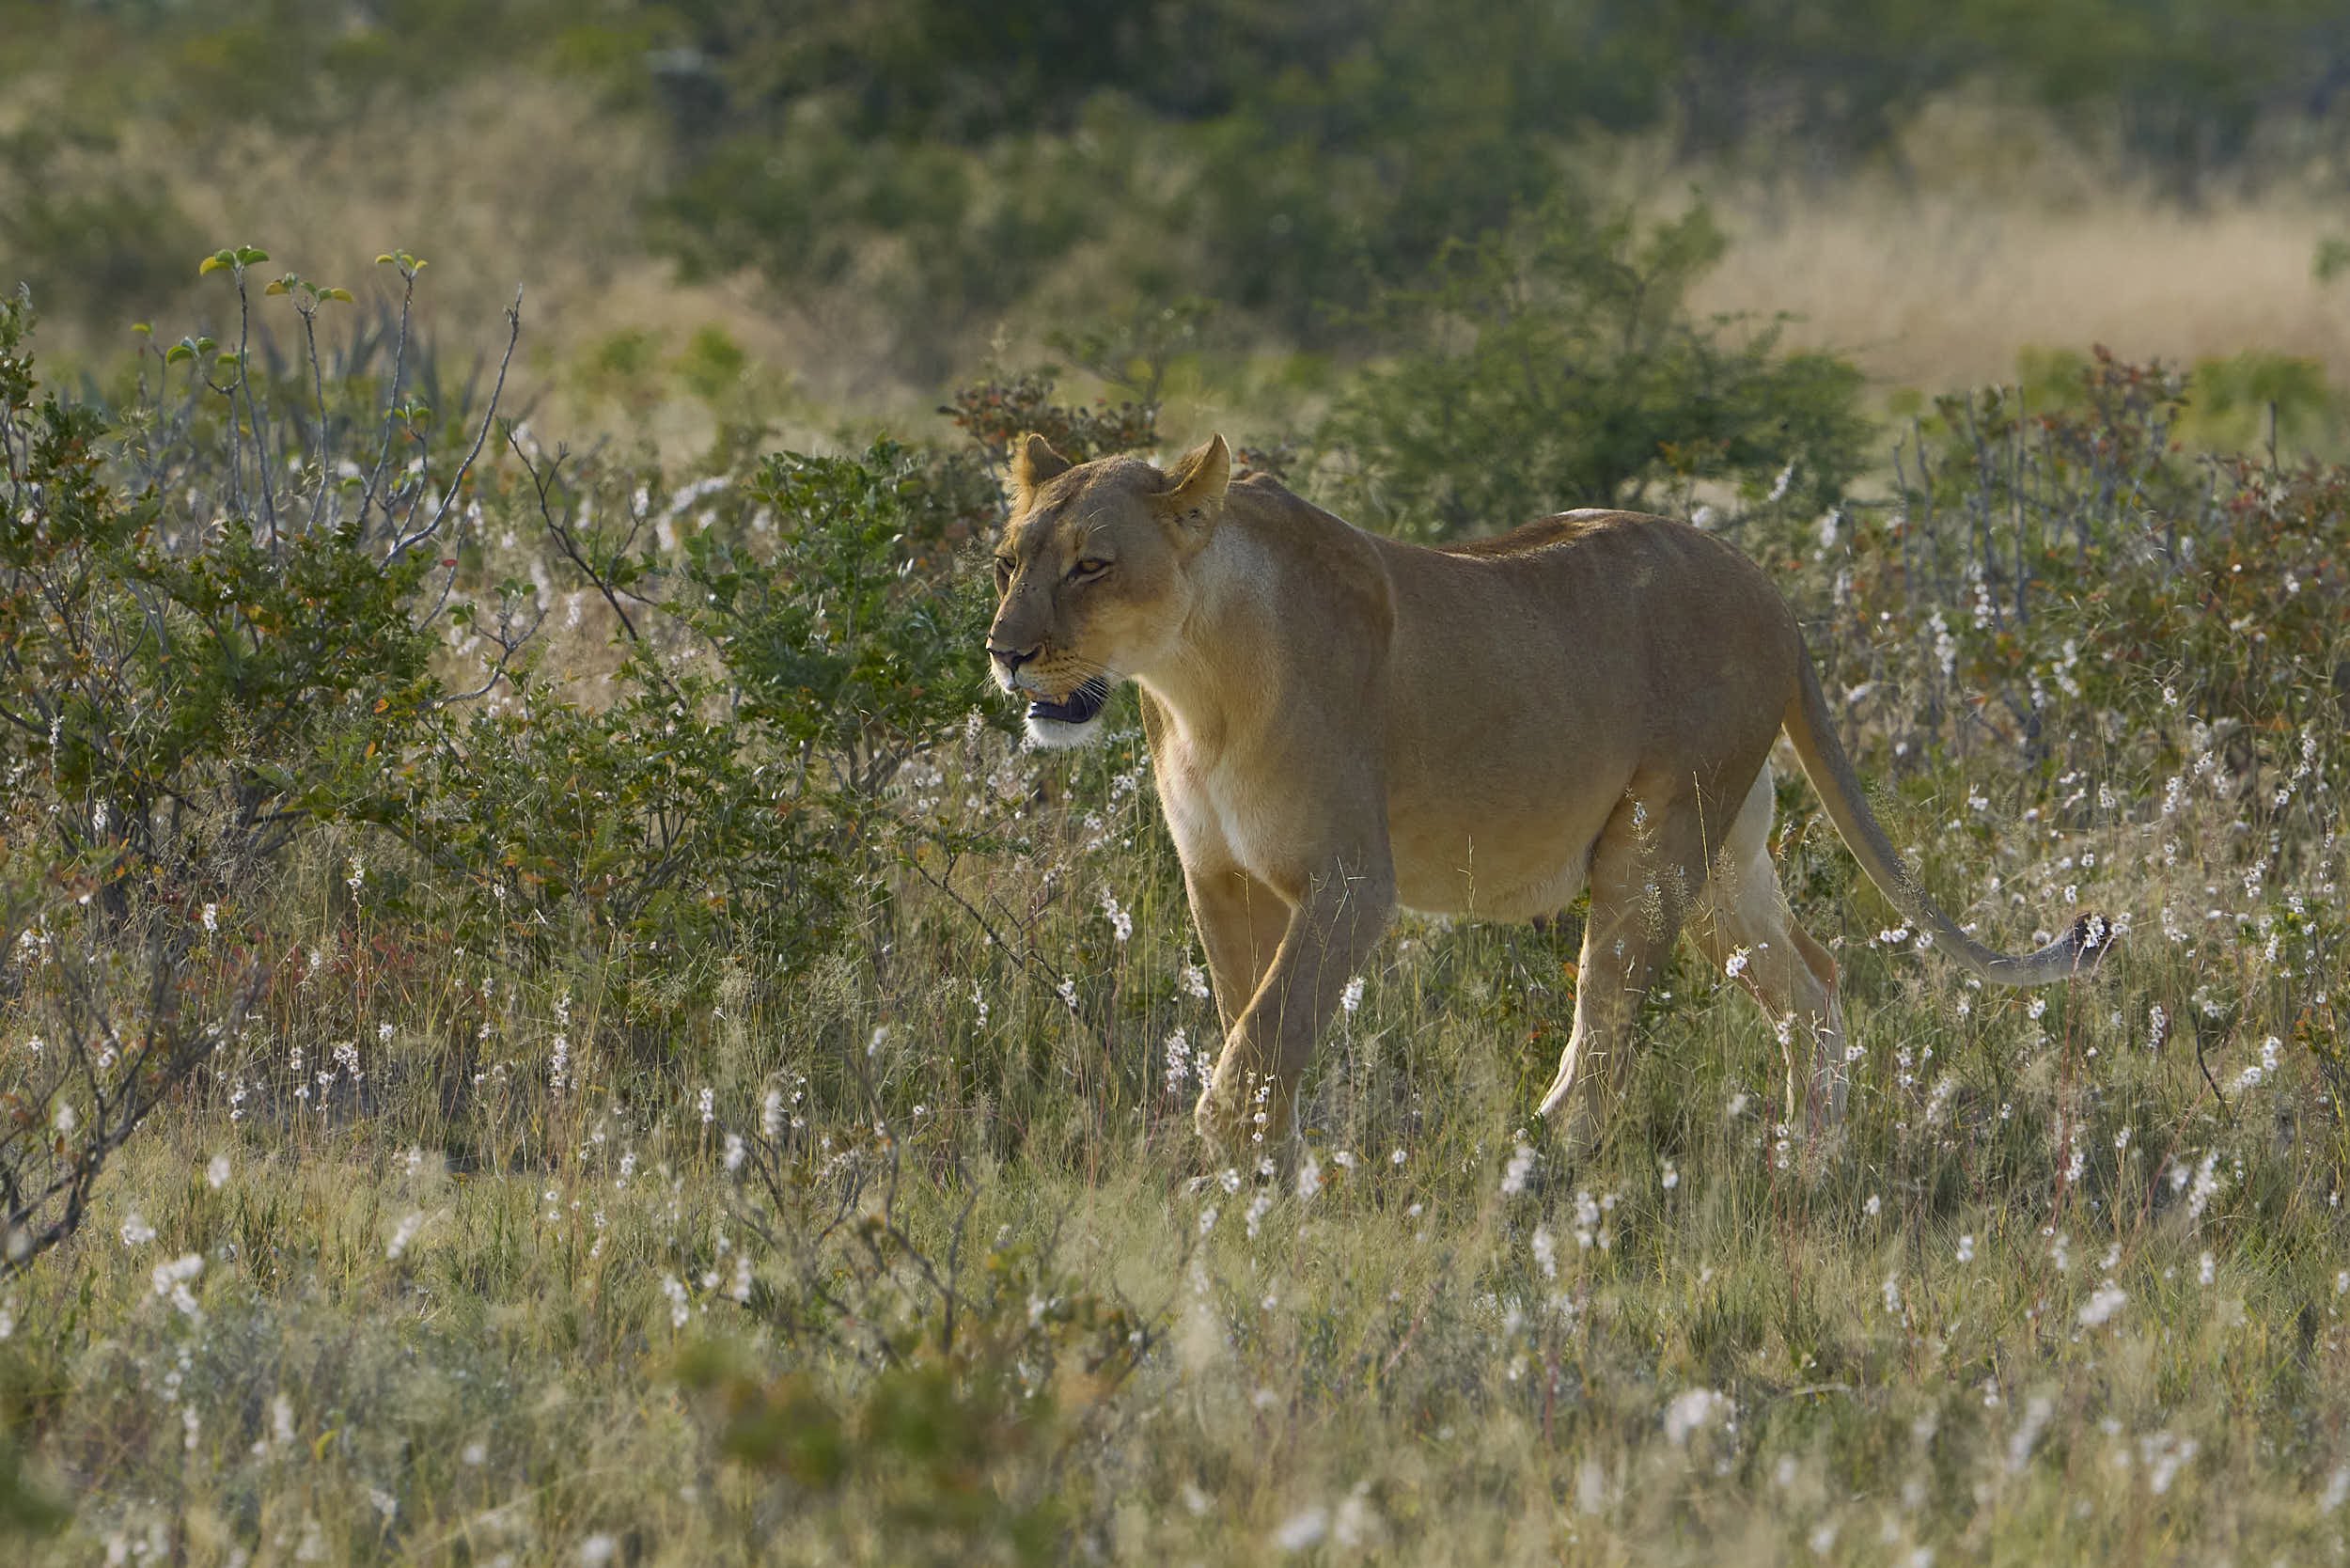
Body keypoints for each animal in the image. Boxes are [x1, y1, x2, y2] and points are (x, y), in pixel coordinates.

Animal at [985, 432, 2110, 1152]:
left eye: (1092, 565)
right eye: (1005, 564)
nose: (1004, 654)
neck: (1193, 685)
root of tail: (1770, 591)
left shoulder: (1350, 882)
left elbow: (1261, 1040)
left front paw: (1229, 1180)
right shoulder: (1219, 879)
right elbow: (1249, 1030)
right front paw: (1270, 1172)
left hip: (1654, 845)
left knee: (1603, 1039)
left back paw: (1540, 1170)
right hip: (1723, 860)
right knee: (1814, 987)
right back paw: (1811, 1167)